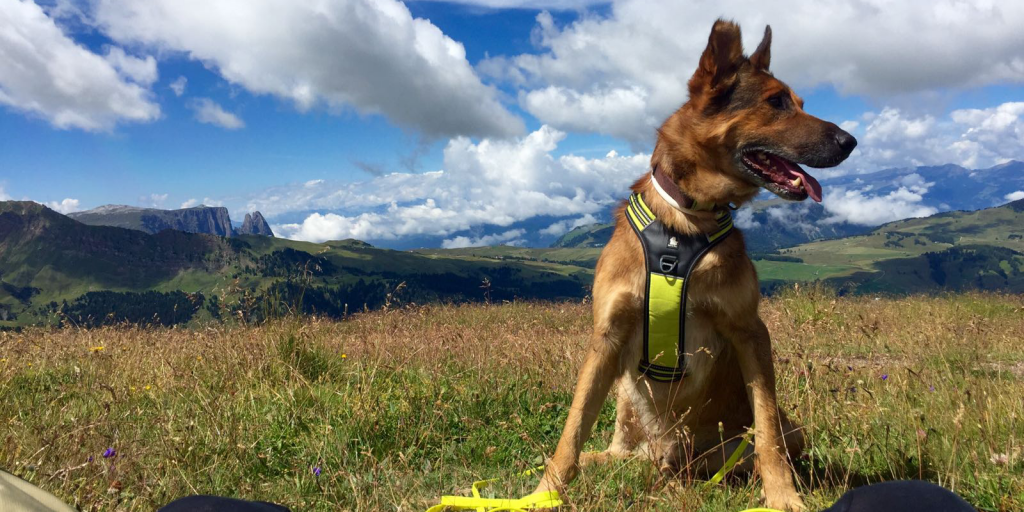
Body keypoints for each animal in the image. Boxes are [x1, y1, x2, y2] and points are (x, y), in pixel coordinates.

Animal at [536, 18, 856, 509]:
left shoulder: (750, 331)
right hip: (626, 395)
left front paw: (782, 496)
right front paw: (544, 491)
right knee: (622, 452)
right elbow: (573, 428)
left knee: (723, 456)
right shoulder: (606, 336)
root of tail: (665, 450)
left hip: (783, 432)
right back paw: (607, 462)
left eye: (799, 102)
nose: (850, 141)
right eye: (776, 102)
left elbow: (767, 433)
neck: (684, 222)